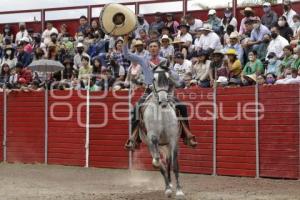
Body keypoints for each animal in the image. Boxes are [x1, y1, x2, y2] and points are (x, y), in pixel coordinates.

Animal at [141, 64, 185, 198]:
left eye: (168, 78)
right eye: (154, 79)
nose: (164, 101)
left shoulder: (173, 138)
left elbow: (175, 164)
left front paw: (179, 190)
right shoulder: (152, 137)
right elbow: (158, 162)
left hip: (167, 145)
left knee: (169, 161)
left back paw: (170, 184)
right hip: (155, 144)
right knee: (162, 163)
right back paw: (167, 187)